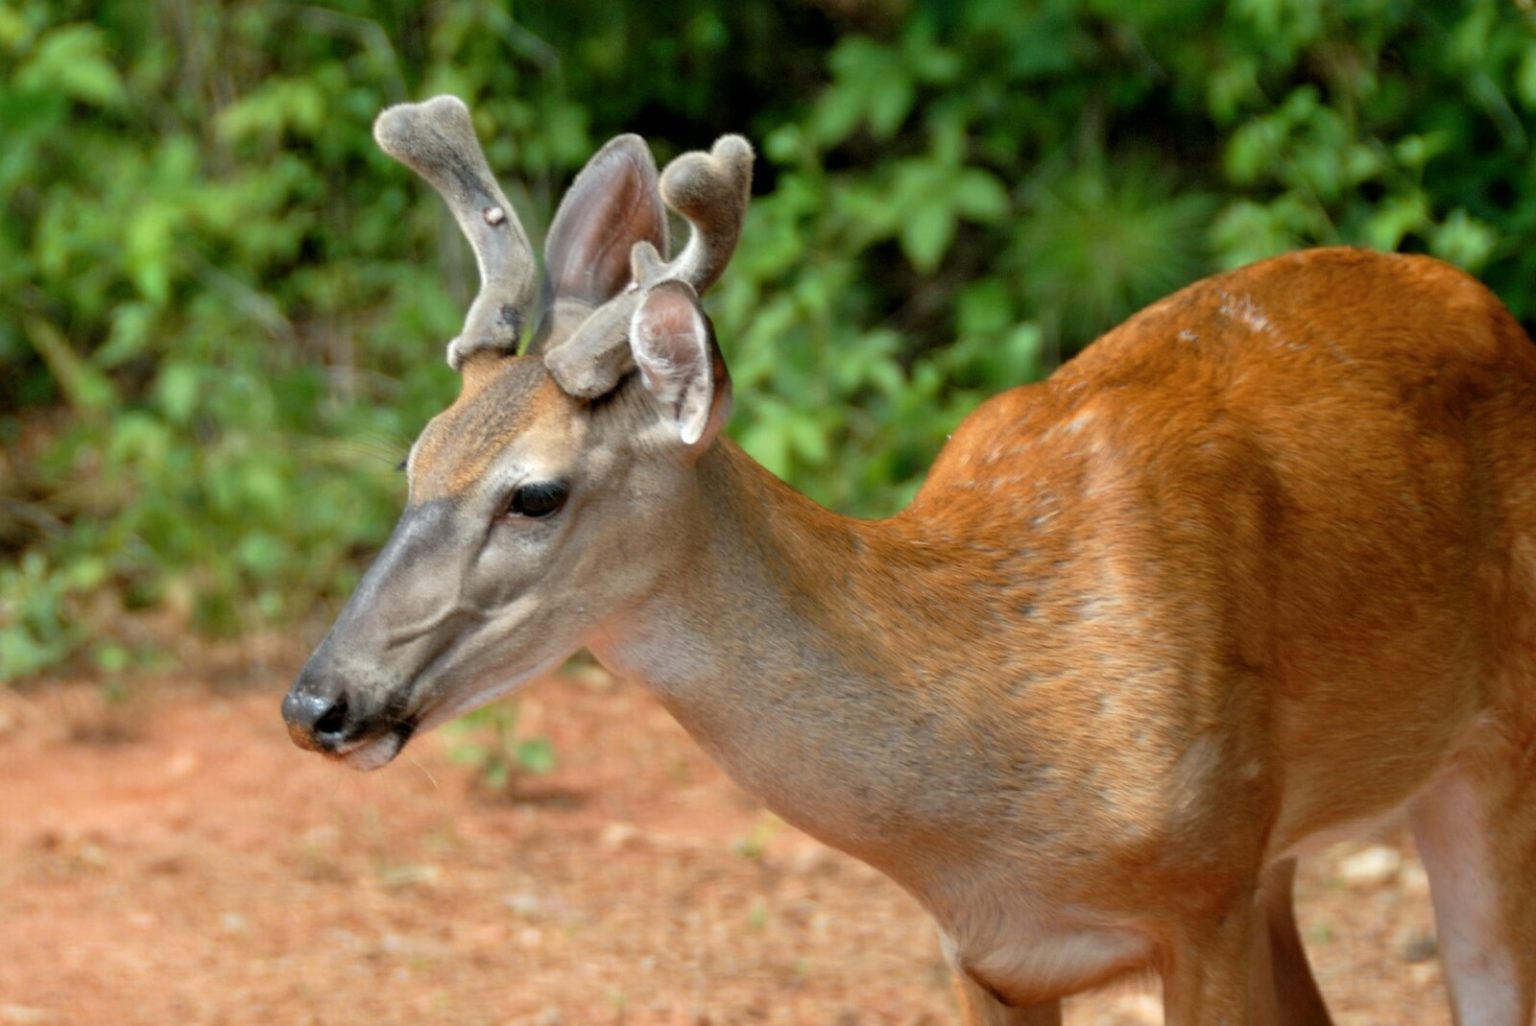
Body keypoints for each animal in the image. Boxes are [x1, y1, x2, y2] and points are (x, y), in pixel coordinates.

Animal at [281, 94, 1536, 1026]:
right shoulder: (994, 952)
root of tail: (1493, 307)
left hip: (1491, 754)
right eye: (414, 460)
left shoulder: (1204, 891)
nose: (316, 703)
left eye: (536, 493)